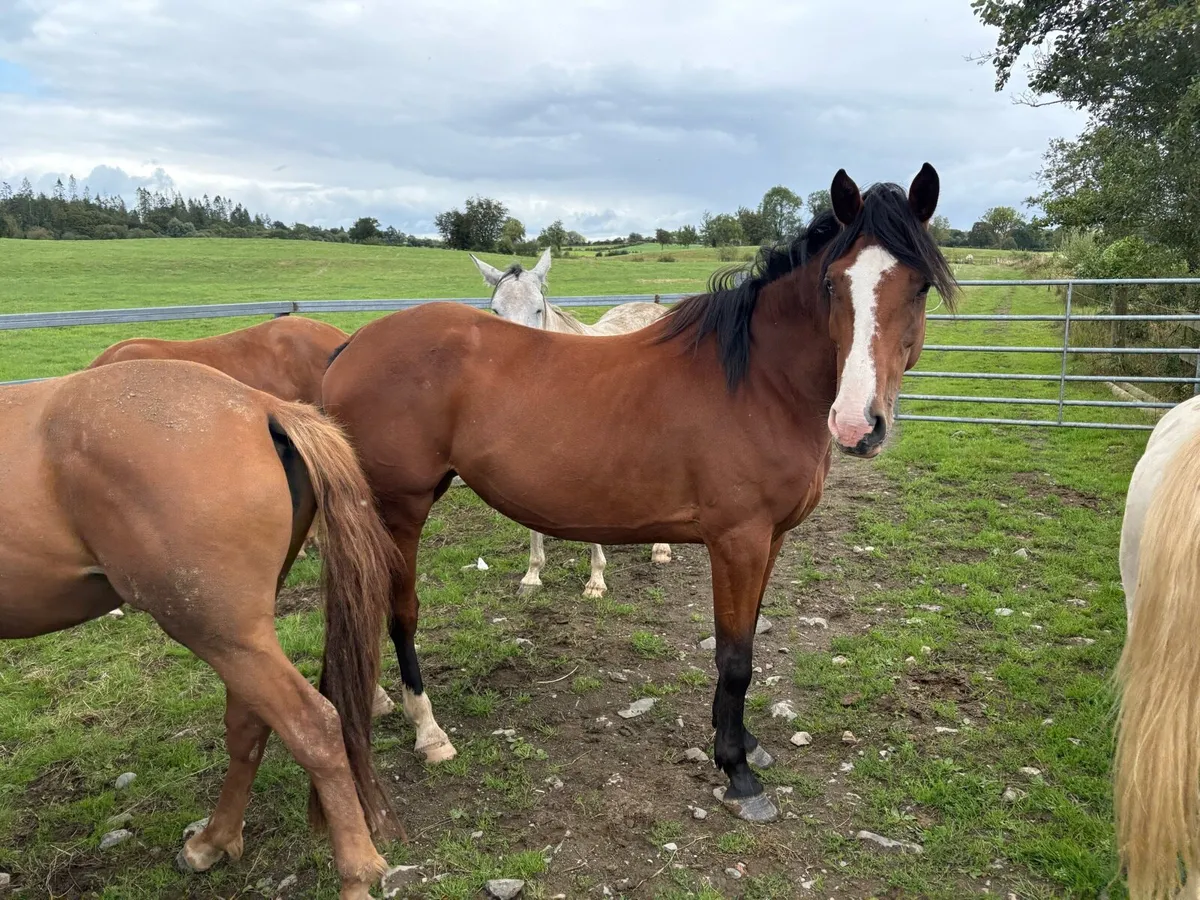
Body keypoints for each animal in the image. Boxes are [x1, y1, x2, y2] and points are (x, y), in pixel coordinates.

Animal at [0, 359, 400, 899]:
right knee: (252, 724)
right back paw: (214, 840)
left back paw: (355, 873)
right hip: (239, 639)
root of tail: (259, 406)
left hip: (220, 633)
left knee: (312, 725)